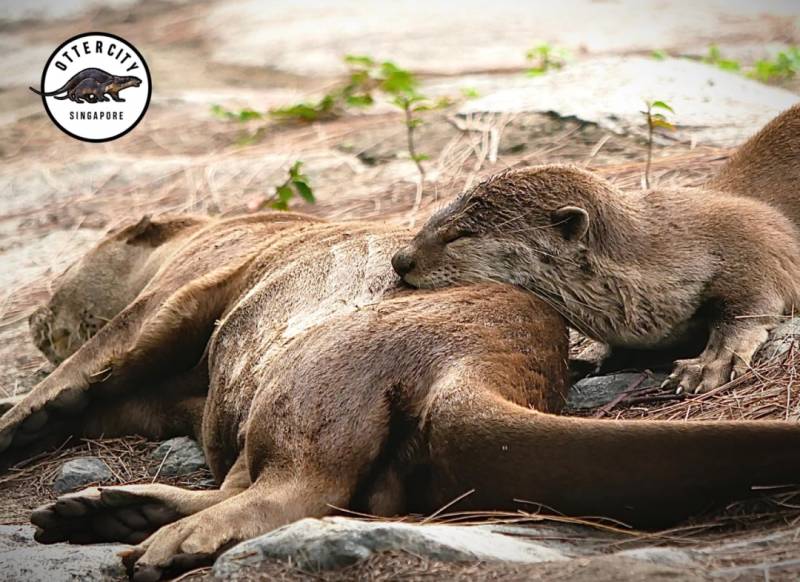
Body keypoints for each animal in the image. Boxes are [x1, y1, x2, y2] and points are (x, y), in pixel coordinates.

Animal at [4, 216, 800, 582]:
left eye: (68, 279)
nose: (34, 316)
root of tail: (483, 367)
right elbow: (115, 395)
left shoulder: (189, 281)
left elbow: (103, 352)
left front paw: (17, 417)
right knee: (261, 483)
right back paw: (106, 511)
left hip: (316, 373)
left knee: (299, 487)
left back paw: (160, 542)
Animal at [396, 105, 800, 396]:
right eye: (433, 218)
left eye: (459, 235)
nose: (401, 260)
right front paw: (584, 363)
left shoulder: (758, 244)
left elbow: (750, 305)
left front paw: (709, 364)